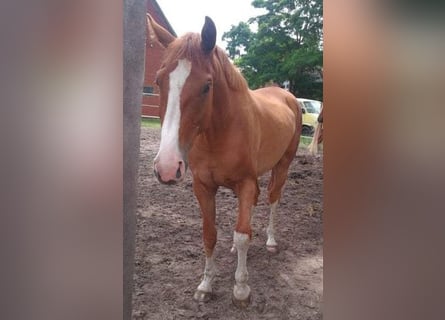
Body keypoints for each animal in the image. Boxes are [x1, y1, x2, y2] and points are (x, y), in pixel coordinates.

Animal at [149, 15, 302, 308]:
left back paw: (271, 241)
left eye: (206, 86)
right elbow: (210, 234)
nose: (167, 167)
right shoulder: (203, 186)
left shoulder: (245, 183)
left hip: (282, 166)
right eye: (159, 80)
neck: (219, 131)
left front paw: (241, 289)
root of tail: (286, 95)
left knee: (273, 199)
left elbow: (242, 235)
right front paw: (206, 285)